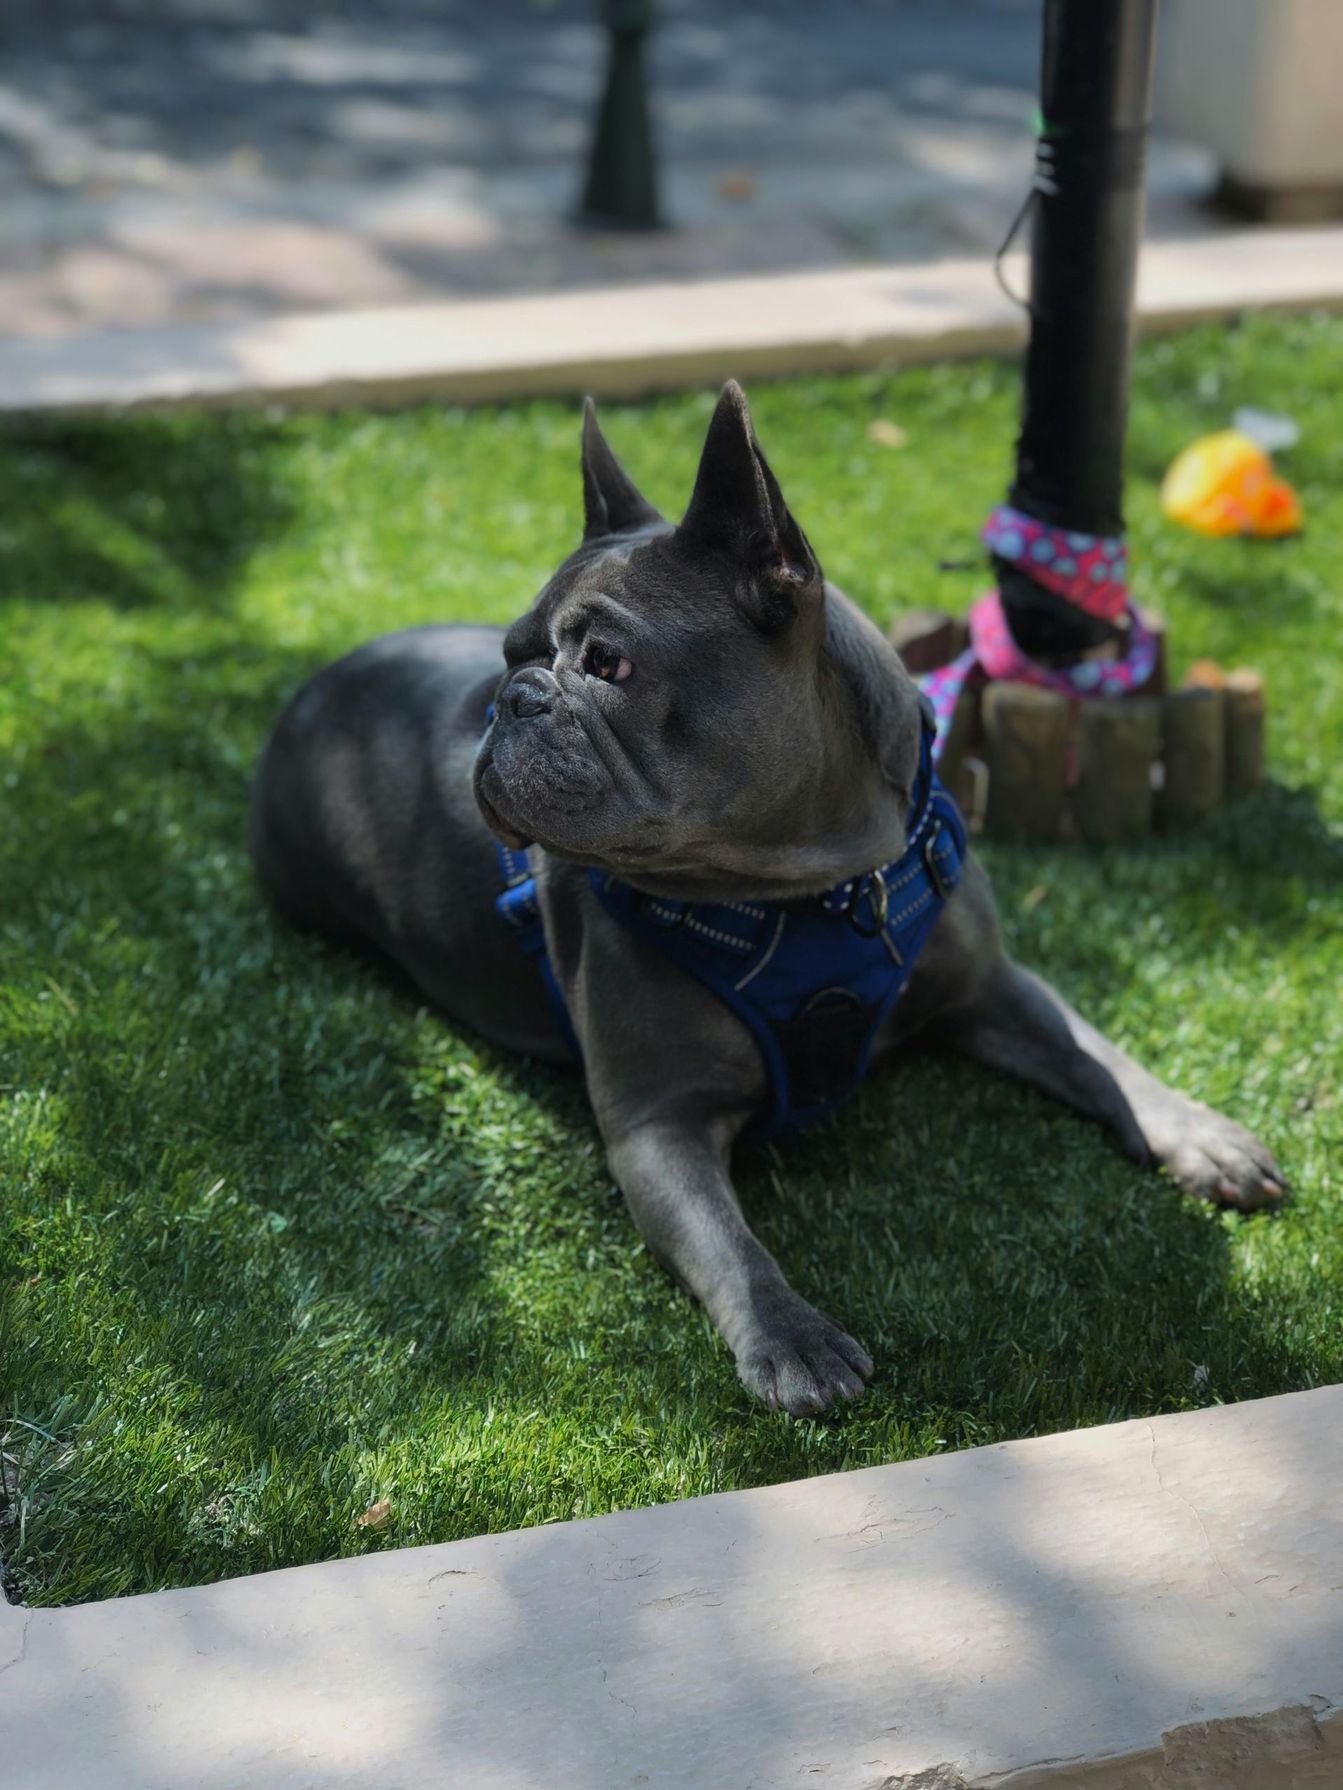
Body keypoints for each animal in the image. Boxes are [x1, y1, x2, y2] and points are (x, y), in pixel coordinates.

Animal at [247, 388, 1289, 1410]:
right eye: (512, 656)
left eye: (608, 664)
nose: (515, 697)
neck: (816, 888)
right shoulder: (656, 1127)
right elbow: (729, 1245)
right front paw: (792, 1338)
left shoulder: (993, 985)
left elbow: (1101, 1056)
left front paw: (1199, 1134)